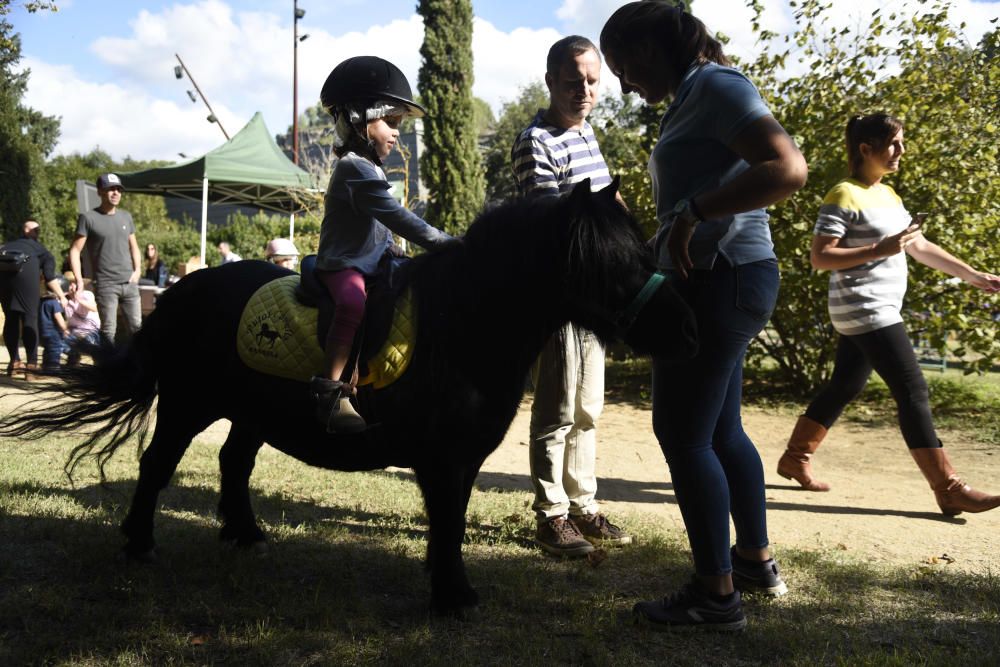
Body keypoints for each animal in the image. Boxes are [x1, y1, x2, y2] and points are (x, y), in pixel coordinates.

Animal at [0, 179, 696, 616]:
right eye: (616, 261)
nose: (685, 330)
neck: (462, 321)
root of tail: (175, 294)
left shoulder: (463, 458)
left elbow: (451, 519)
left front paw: (450, 588)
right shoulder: (442, 460)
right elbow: (447, 522)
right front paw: (452, 597)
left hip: (251, 413)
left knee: (233, 462)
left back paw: (246, 534)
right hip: (189, 405)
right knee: (156, 466)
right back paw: (140, 543)